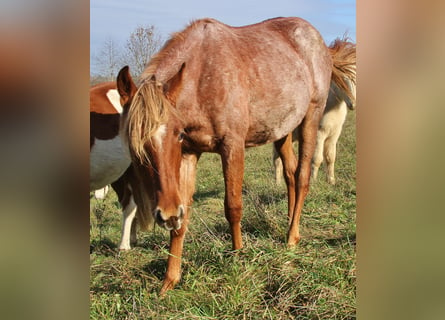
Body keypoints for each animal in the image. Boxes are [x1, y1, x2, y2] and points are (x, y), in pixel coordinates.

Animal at [272, 38, 356, 185]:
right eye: (342, 80)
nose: (353, 104)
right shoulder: (319, 134)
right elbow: (317, 159)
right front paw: (314, 181)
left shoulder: (334, 135)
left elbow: (330, 157)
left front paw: (331, 181)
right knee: (277, 159)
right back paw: (277, 184)